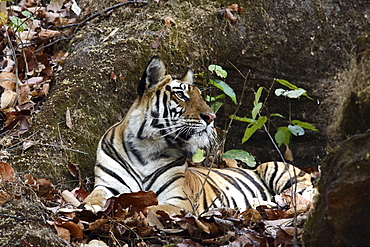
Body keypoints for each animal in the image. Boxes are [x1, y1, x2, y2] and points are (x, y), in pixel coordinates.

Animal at [84, 56, 312, 214]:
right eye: (181, 95)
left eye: (200, 97)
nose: (211, 117)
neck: (146, 149)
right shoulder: (106, 185)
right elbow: (92, 198)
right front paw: (88, 208)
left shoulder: (178, 200)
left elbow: (151, 208)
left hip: (274, 168)